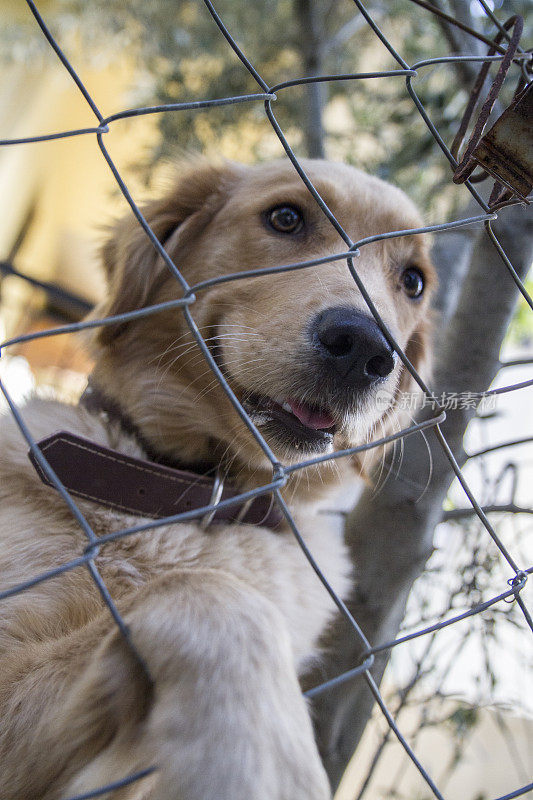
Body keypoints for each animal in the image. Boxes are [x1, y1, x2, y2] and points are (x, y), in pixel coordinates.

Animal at [0, 158, 432, 800]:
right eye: (286, 218)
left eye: (413, 282)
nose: (366, 348)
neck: (204, 494)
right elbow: (216, 596)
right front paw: (268, 767)